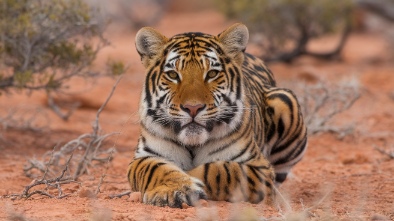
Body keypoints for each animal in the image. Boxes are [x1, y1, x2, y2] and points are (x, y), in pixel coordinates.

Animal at [127, 23, 306, 208]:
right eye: (173, 75)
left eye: (212, 74)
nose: (193, 108)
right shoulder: (143, 157)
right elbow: (154, 169)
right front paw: (175, 190)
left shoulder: (260, 168)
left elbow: (221, 171)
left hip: (284, 99)